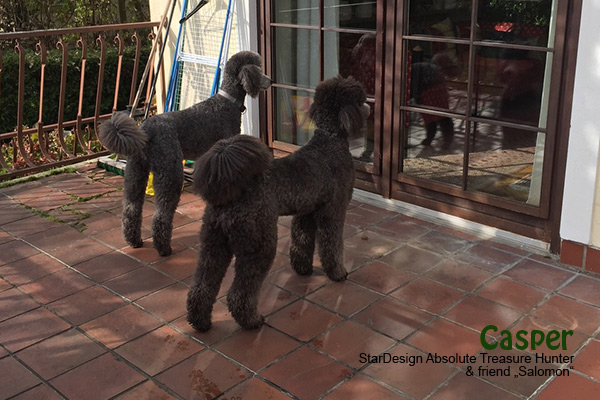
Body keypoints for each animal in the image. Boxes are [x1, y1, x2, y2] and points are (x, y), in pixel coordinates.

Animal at [98, 51, 272, 256]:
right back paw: (164, 249)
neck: (227, 101)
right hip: (170, 171)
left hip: (135, 172)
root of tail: (146, 130)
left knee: (131, 208)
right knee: (161, 215)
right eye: (258, 69)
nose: (270, 80)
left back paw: (134, 241)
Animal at [186, 76, 369, 331]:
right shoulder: (333, 211)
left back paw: (200, 322)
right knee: (239, 293)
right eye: (360, 99)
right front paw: (338, 273)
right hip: (259, 245)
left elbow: (302, 241)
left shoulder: (305, 212)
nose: (370, 107)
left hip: (213, 243)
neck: (329, 138)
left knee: (202, 287)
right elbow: (332, 246)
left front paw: (303, 269)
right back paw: (252, 320)